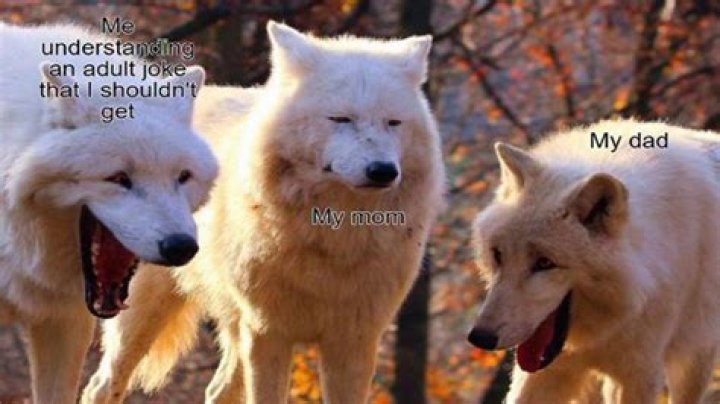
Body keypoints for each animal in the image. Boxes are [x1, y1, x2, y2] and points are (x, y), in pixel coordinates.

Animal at [81, 21, 445, 403]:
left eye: (394, 123)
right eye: (341, 119)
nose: (383, 171)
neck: (335, 234)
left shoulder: (354, 341)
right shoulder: (268, 331)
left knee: (217, 390)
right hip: (143, 313)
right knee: (101, 385)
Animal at [467, 120, 720, 403]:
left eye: (544, 263)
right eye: (498, 255)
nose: (480, 337)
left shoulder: (640, 375)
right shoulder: (547, 370)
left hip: (693, 361)